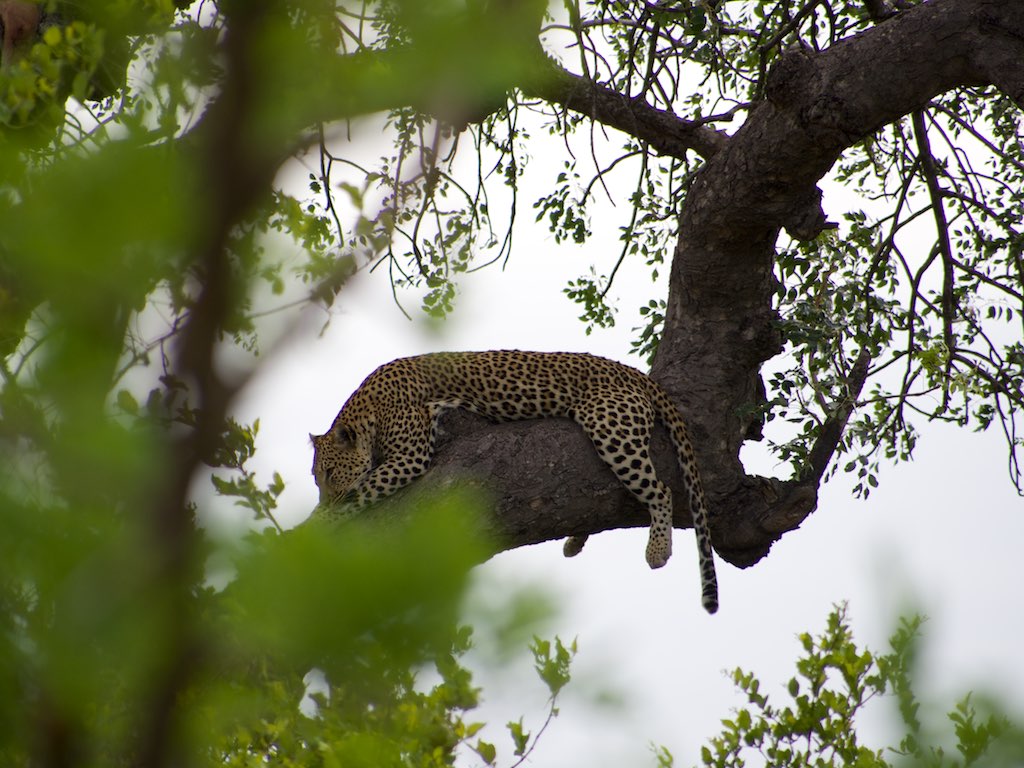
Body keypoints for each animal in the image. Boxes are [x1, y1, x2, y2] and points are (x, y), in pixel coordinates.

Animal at [311, 352, 720, 618]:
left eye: (329, 473)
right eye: (317, 478)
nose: (324, 494)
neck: (368, 410)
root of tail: (635, 373)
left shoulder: (409, 458)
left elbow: (360, 492)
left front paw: (317, 524)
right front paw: (318, 513)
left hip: (611, 429)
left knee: (660, 490)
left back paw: (658, 550)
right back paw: (575, 541)